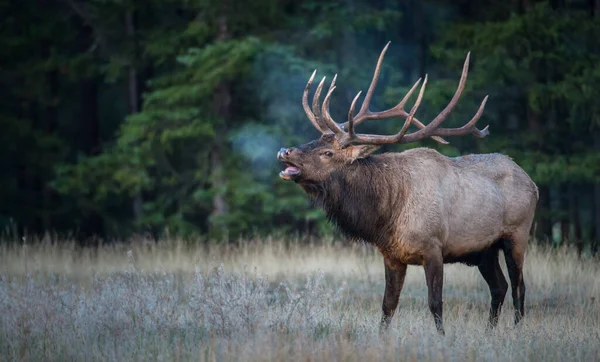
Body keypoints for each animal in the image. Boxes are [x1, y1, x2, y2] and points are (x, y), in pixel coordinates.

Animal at [276, 42, 540, 334]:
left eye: (327, 153)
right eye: (314, 139)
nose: (284, 151)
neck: (387, 214)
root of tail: (532, 183)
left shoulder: (434, 247)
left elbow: (435, 303)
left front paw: (442, 337)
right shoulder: (392, 255)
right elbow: (388, 305)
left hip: (517, 234)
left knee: (519, 287)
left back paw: (516, 330)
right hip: (484, 250)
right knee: (499, 287)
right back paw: (489, 332)